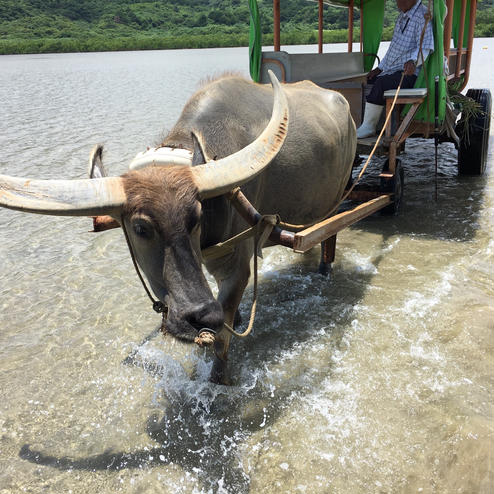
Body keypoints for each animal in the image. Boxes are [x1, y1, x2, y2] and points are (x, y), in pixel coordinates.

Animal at [0, 71, 356, 384]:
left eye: (195, 217)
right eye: (140, 228)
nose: (201, 315)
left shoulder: (237, 266)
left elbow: (222, 339)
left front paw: (219, 378)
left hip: (337, 199)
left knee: (329, 236)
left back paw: (324, 267)